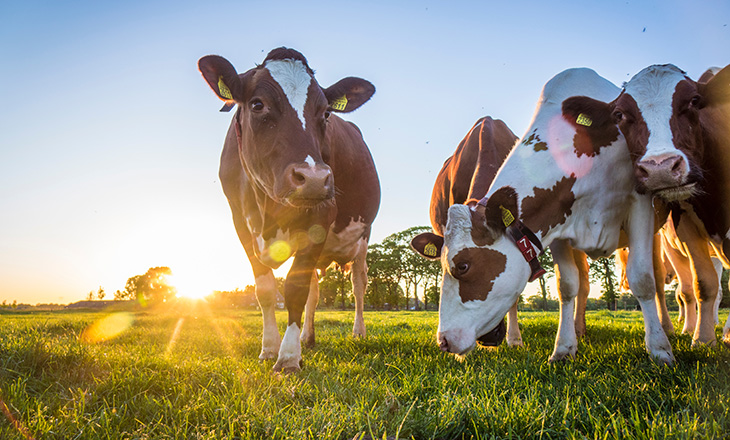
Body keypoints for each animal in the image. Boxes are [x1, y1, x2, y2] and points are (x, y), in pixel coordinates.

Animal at [199, 47, 382, 372]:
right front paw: (269, 348)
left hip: (363, 235)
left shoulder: (321, 217)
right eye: (258, 104)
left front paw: (287, 358)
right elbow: (265, 289)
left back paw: (357, 332)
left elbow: (295, 290)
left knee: (358, 283)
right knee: (315, 290)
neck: (268, 208)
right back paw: (307, 337)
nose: (314, 178)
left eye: (326, 113)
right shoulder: (240, 223)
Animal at [410, 68, 672, 364]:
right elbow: (567, 285)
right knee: (583, 281)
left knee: (658, 277)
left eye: (463, 265)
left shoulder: (640, 202)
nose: (444, 341)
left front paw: (660, 350)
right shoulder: (557, 225)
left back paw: (671, 329)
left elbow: (643, 278)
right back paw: (579, 330)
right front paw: (563, 348)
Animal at [564, 64, 730, 348]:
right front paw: (703, 339)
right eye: (619, 114)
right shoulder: (685, 225)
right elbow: (702, 285)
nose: (660, 168)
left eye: (694, 100)